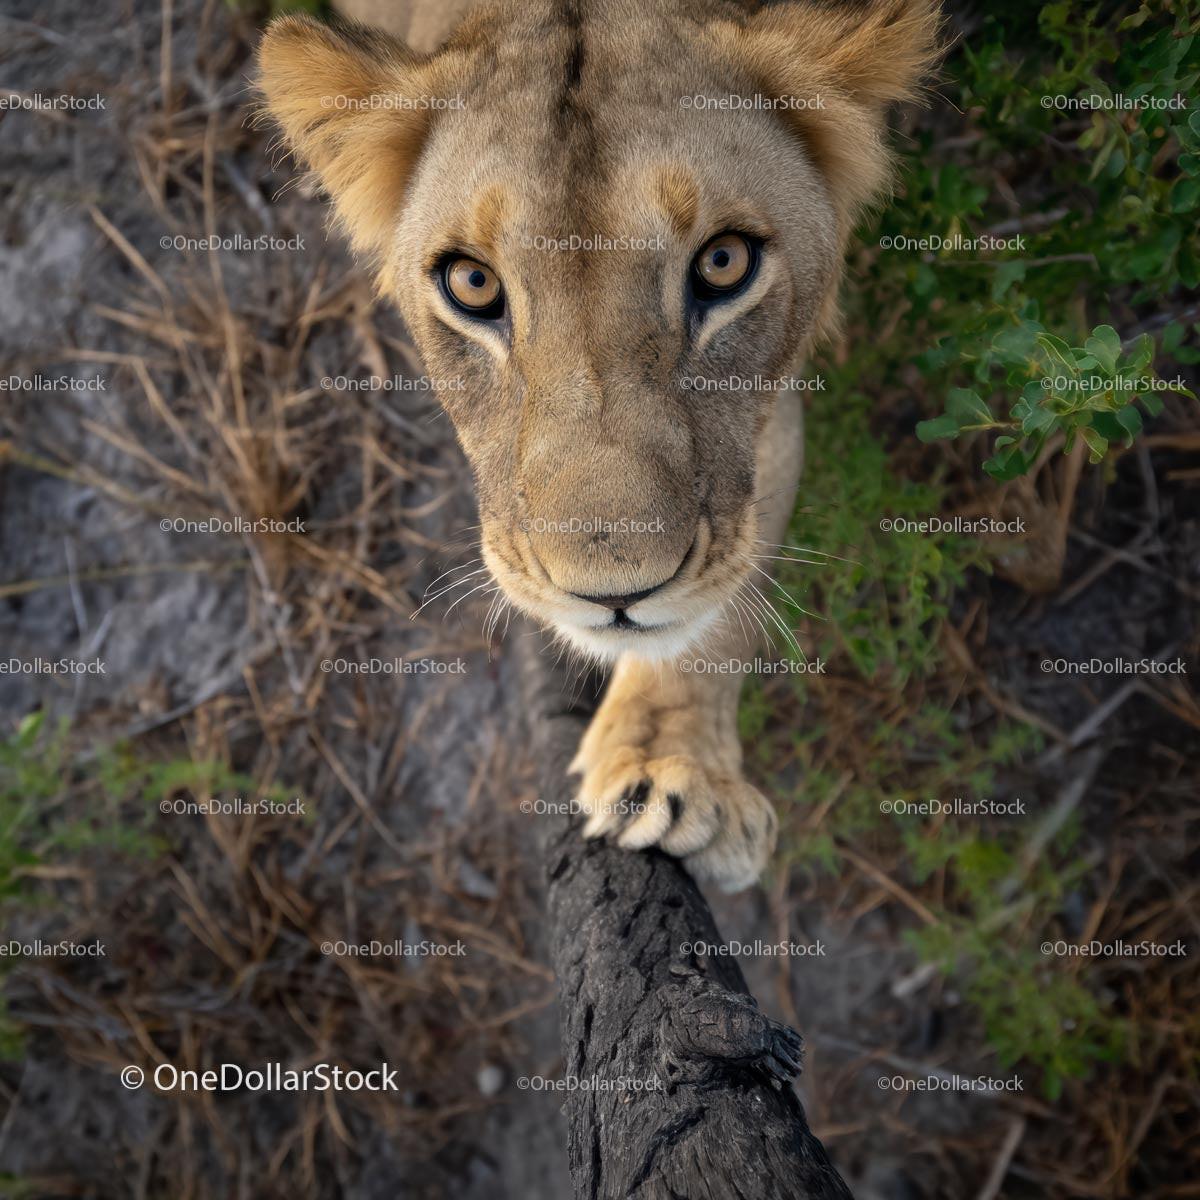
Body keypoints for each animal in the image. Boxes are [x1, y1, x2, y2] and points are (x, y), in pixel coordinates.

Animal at [258, 0, 940, 891]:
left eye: (724, 263)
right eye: (473, 285)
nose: (614, 594)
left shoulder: (767, 422)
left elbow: (716, 613)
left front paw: (671, 773)